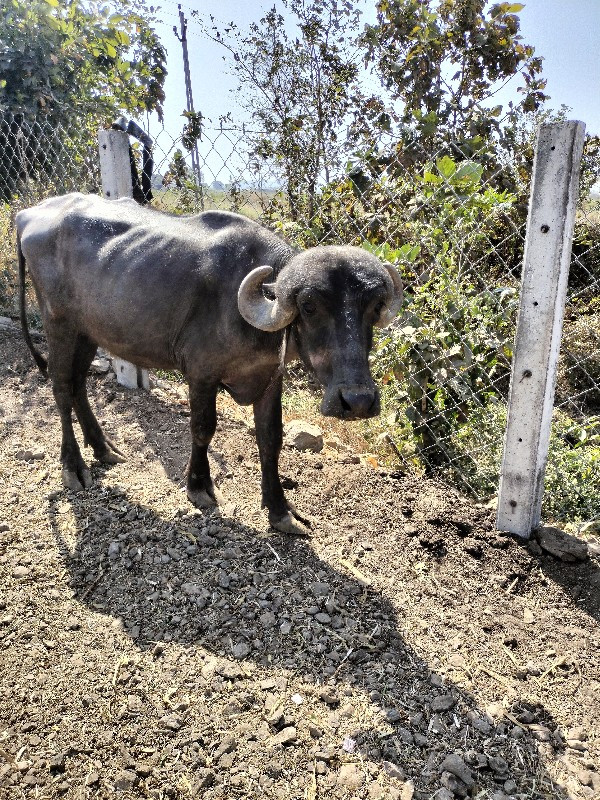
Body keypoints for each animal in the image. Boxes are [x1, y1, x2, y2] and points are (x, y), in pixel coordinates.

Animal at [17, 192, 404, 536]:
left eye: (373, 307)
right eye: (309, 306)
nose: (357, 401)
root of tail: (28, 215)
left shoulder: (269, 378)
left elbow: (271, 438)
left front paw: (280, 510)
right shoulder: (201, 375)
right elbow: (203, 428)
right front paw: (199, 486)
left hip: (88, 331)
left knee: (79, 383)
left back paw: (103, 448)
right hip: (58, 322)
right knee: (61, 385)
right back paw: (74, 466)